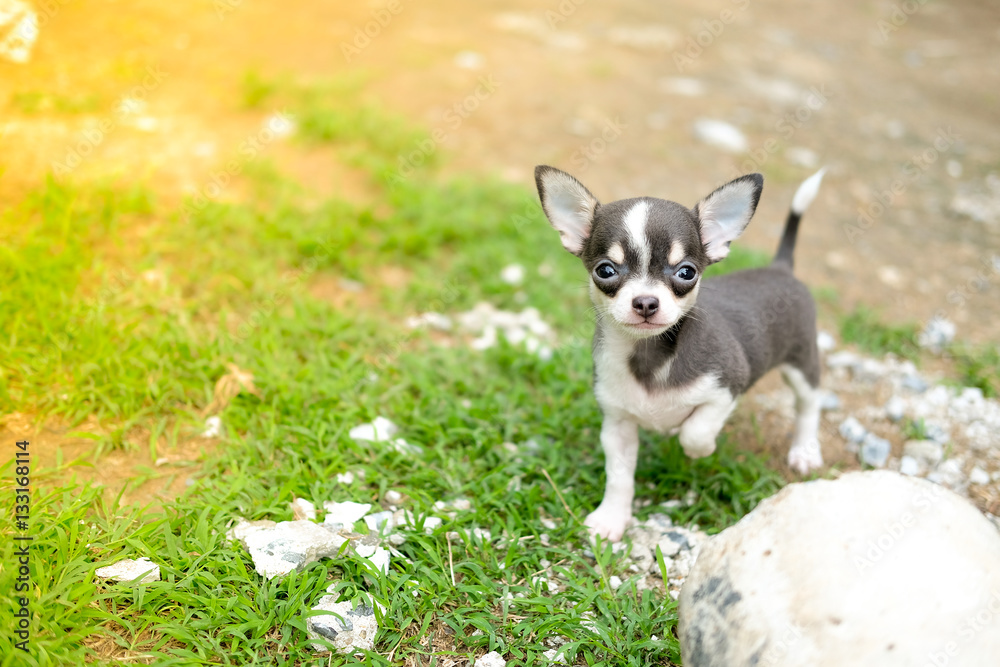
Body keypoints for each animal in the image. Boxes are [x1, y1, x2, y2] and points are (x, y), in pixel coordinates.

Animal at [536, 167, 824, 544]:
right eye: (605, 270)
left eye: (686, 272)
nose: (646, 302)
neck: (650, 356)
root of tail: (780, 268)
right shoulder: (617, 426)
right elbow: (619, 477)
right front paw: (611, 518)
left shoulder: (727, 387)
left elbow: (696, 431)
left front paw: (700, 450)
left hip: (802, 363)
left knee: (809, 405)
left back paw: (804, 451)